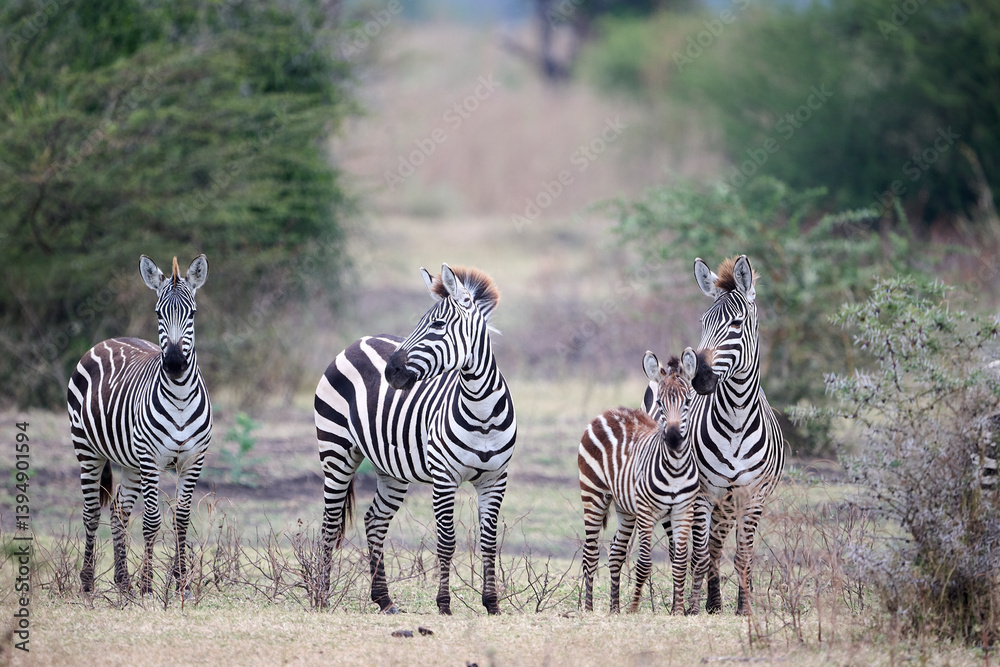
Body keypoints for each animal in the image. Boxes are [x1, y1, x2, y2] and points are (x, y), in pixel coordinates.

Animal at [67, 255, 212, 596]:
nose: (174, 363)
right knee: (91, 512)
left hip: (129, 462)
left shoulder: (193, 460)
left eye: (193, 313)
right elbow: (151, 521)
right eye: (158, 313)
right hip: (87, 450)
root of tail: (108, 340)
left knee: (118, 511)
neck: (181, 397)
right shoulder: (151, 460)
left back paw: (123, 582)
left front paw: (182, 581)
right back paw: (88, 581)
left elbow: (181, 518)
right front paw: (147, 584)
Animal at [315, 264, 516, 615]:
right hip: (335, 452)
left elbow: (489, 542)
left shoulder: (495, 479)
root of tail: (357, 341)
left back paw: (384, 600)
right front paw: (444, 605)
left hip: (390, 470)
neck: (483, 412)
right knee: (329, 523)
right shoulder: (444, 477)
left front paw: (492, 605)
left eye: (437, 325)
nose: (391, 372)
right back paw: (323, 598)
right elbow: (446, 541)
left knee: (374, 521)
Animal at [580, 349, 700, 615]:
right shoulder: (647, 511)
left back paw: (614, 609)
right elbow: (644, 563)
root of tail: (609, 412)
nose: (673, 439)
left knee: (616, 553)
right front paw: (634, 609)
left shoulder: (683, 511)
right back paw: (589, 608)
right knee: (590, 554)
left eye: (688, 402)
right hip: (593, 495)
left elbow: (680, 561)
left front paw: (678, 611)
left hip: (625, 508)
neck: (675, 467)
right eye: (659, 403)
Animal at [644, 255, 784, 615]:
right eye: (703, 322)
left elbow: (743, 555)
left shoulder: (753, 496)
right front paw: (692, 608)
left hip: (730, 503)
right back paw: (707, 602)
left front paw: (745, 610)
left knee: (721, 547)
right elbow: (698, 555)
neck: (736, 420)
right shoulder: (704, 494)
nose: (699, 378)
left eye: (736, 324)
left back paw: (720, 602)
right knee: (697, 549)